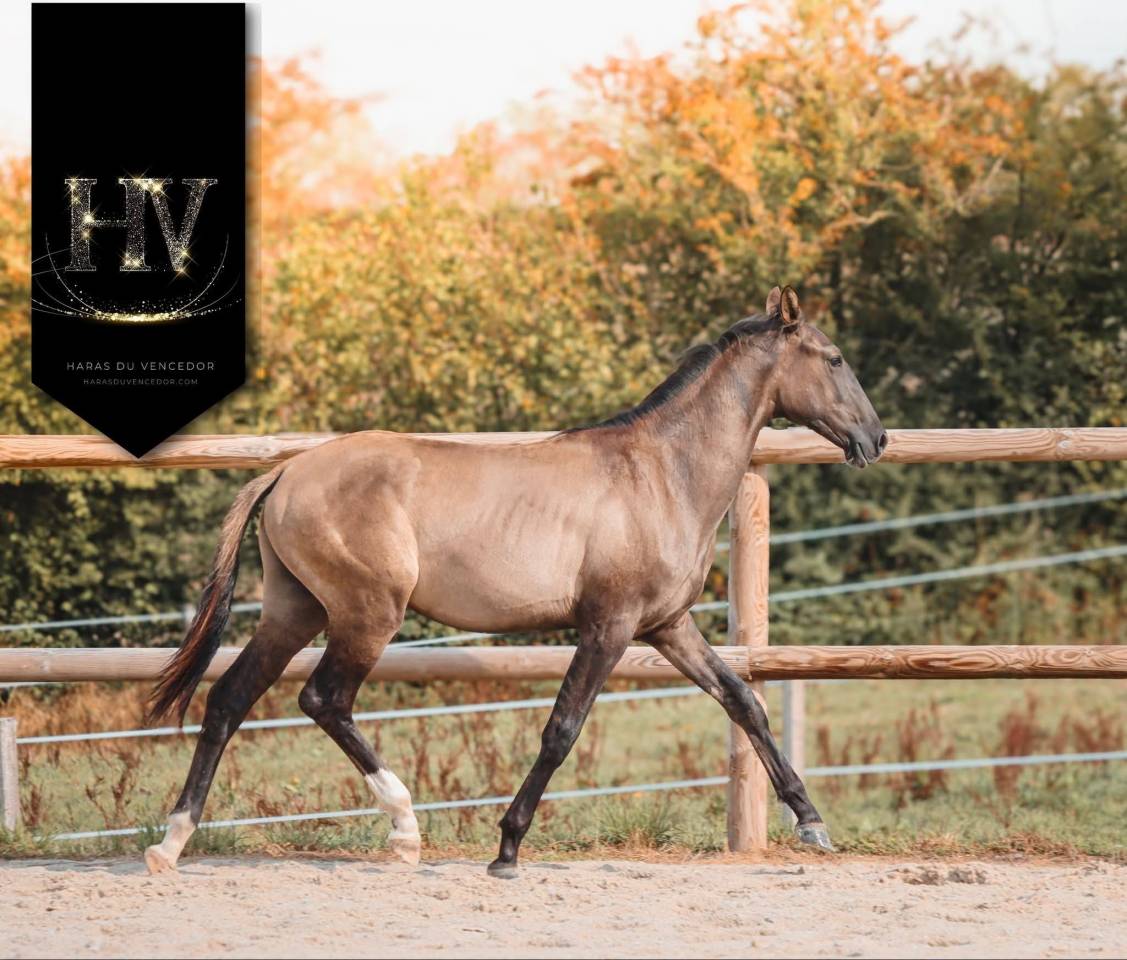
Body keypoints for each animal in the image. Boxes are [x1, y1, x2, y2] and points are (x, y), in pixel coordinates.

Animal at [143, 285, 886, 878]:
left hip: (294, 611)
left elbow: (743, 701)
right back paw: (404, 831)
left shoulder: (668, 627)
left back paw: (170, 843)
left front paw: (812, 824)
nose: (875, 440)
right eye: (833, 359)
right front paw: (506, 849)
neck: (660, 474)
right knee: (324, 699)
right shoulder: (608, 627)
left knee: (229, 699)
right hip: (366, 614)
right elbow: (561, 729)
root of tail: (286, 471)